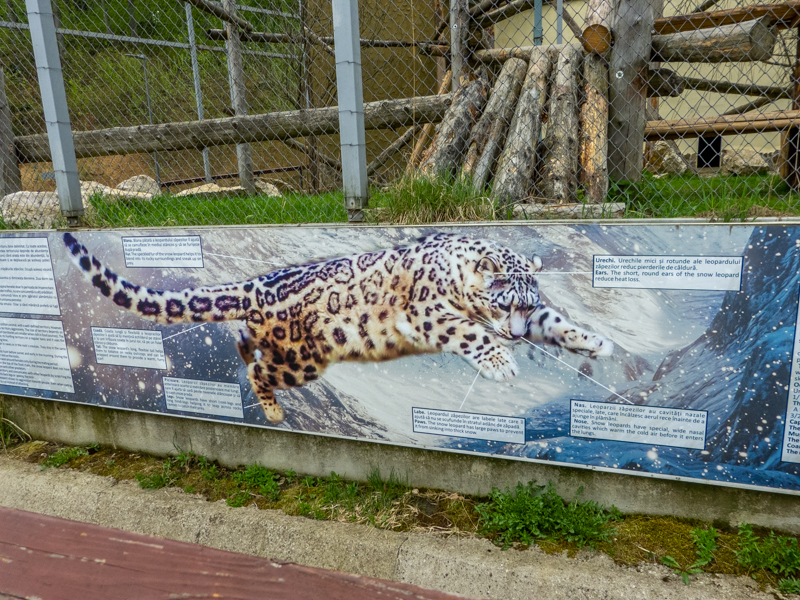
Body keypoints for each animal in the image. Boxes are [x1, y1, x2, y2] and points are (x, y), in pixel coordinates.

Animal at [63, 231, 613, 424]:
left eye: (527, 303)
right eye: (504, 304)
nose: (515, 335)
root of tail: (259, 284)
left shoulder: (539, 316)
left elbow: (556, 322)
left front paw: (594, 341)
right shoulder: (430, 314)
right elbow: (469, 332)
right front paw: (501, 361)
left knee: (245, 344)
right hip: (303, 359)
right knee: (260, 370)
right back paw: (274, 412)